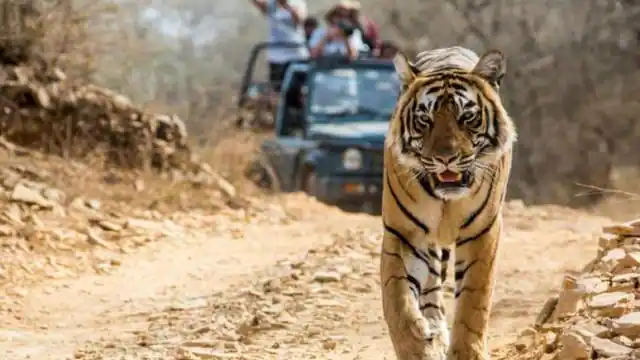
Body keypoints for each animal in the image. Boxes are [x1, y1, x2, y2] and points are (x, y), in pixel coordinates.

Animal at [380, 45, 516, 360]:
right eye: (424, 120)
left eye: (467, 117)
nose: (445, 158)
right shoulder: (403, 233)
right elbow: (396, 299)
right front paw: (416, 347)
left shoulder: (482, 233)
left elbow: (472, 305)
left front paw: (467, 352)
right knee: (430, 291)